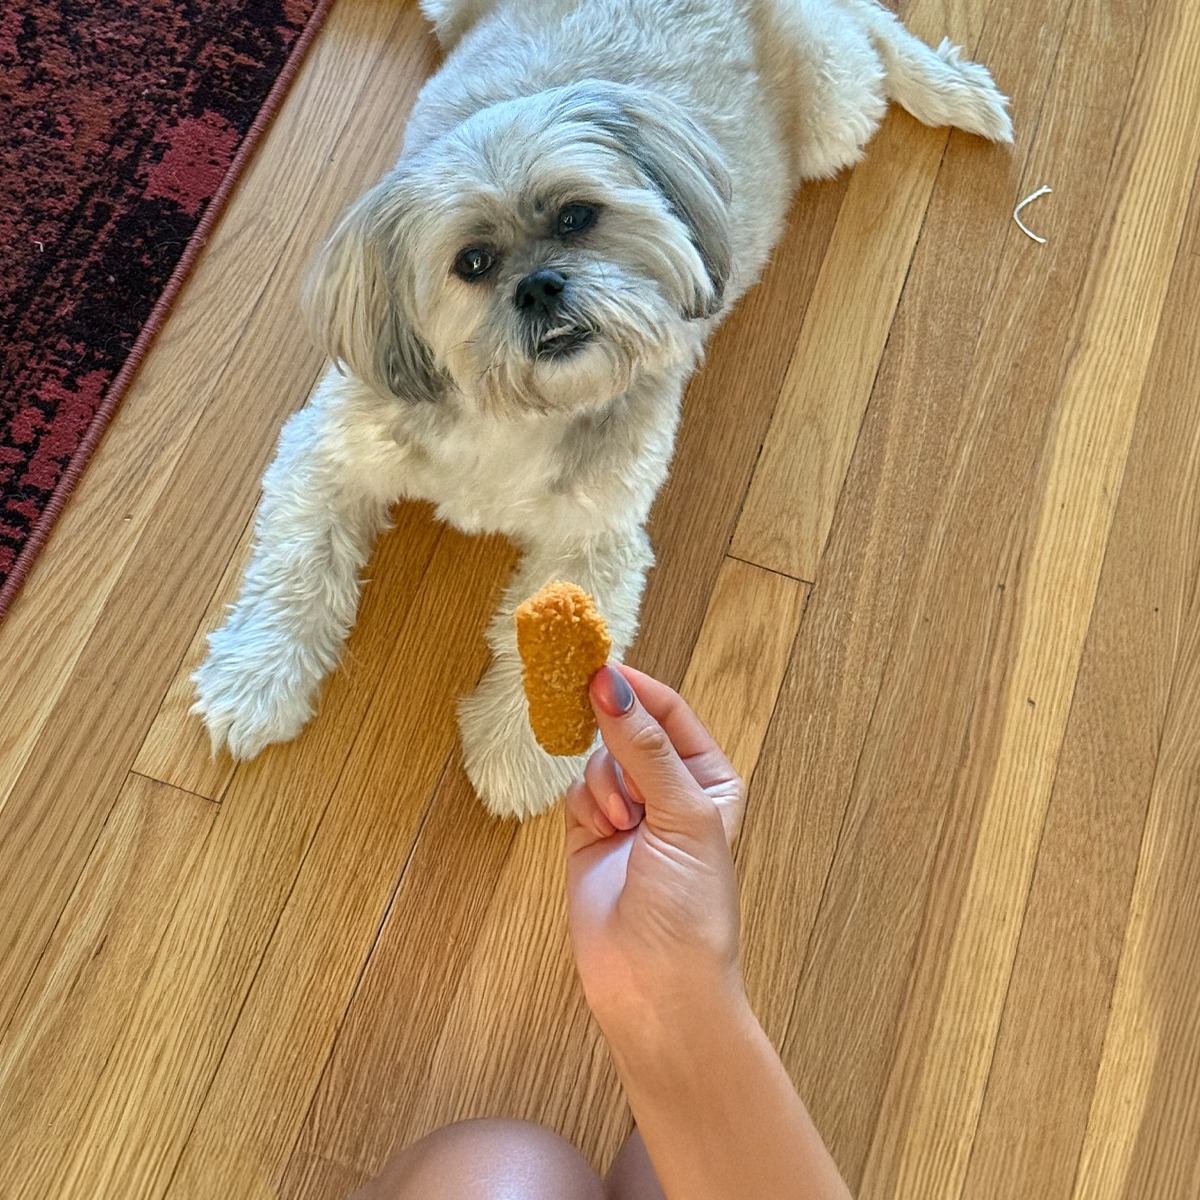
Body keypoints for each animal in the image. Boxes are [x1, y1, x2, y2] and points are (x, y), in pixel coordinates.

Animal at [193, 0, 1011, 818]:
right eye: (473, 263)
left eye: (578, 217)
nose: (540, 286)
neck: (514, 411)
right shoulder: (329, 457)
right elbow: (296, 571)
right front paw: (256, 679)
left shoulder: (594, 538)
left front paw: (524, 754)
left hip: (834, 109)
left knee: (864, 24)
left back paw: (945, 87)